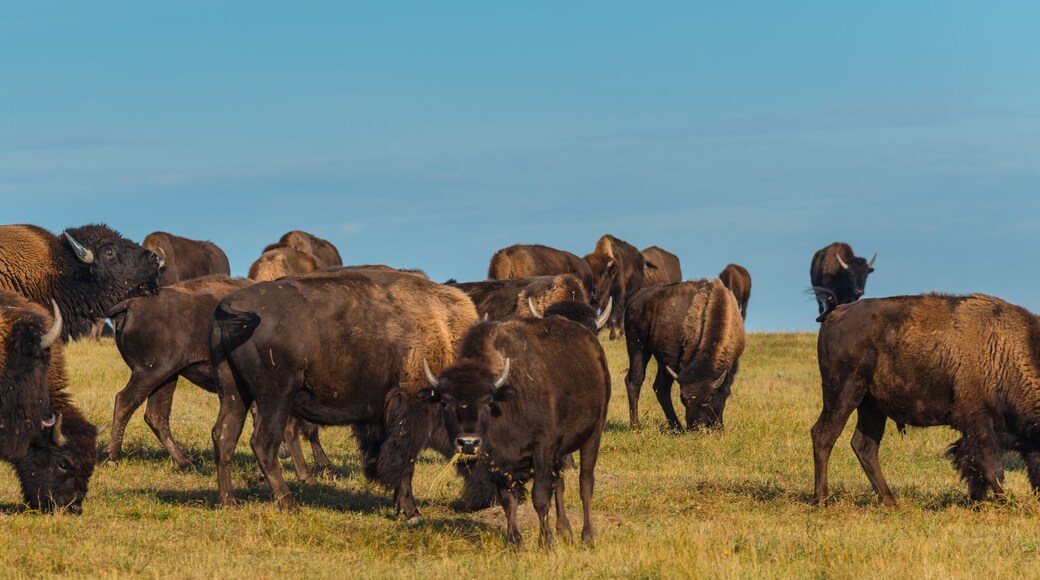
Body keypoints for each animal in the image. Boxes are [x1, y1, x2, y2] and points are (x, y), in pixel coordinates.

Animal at [105, 276, 328, 478]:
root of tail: (131, 304)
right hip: (150, 372)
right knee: (125, 402)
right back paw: (112, 459)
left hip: (167, 377)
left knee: (156, 415)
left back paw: (187, 463)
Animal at [209, 267, 476, 519]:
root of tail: (229, 304)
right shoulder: (410, 409)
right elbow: (405, 460)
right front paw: (411, 511)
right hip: (275, 395)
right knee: (263, 443)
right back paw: (289, 504)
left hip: (234, 392)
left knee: (224, 436)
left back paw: (229, 503)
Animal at [419, 300, 610, 548]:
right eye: (445, 402)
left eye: (487, 401)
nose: (468, 443)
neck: (505, 397)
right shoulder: (499, 461)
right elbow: (508, 501)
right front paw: (515, 543)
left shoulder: (541, 449)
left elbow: (540, 497)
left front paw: (546, 542)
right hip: (560, 450)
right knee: (560, 483)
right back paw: (564, 531)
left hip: (593, 432)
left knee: (585, 482)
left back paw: (587, 536)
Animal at [624, 279, 745, 430]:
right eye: (683, 399)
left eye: (708, 399)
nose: (695, 427)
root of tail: (634, 298)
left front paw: (719, 426)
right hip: (637, 346)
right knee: (635, 380)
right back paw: (637, 426)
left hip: (661, 360)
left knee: (660, 388)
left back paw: (677, 428)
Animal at [813, 293, 1040, 505]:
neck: (1004, 351)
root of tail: (835, 312)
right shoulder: (979, 421)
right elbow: (993, 467)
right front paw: (1003, 502)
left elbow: (977, 469)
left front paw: (978, 501)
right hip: (843, 392)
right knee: (824, 435)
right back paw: (822, 499)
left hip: (871, 406)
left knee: (865, 446)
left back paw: (890, 501)